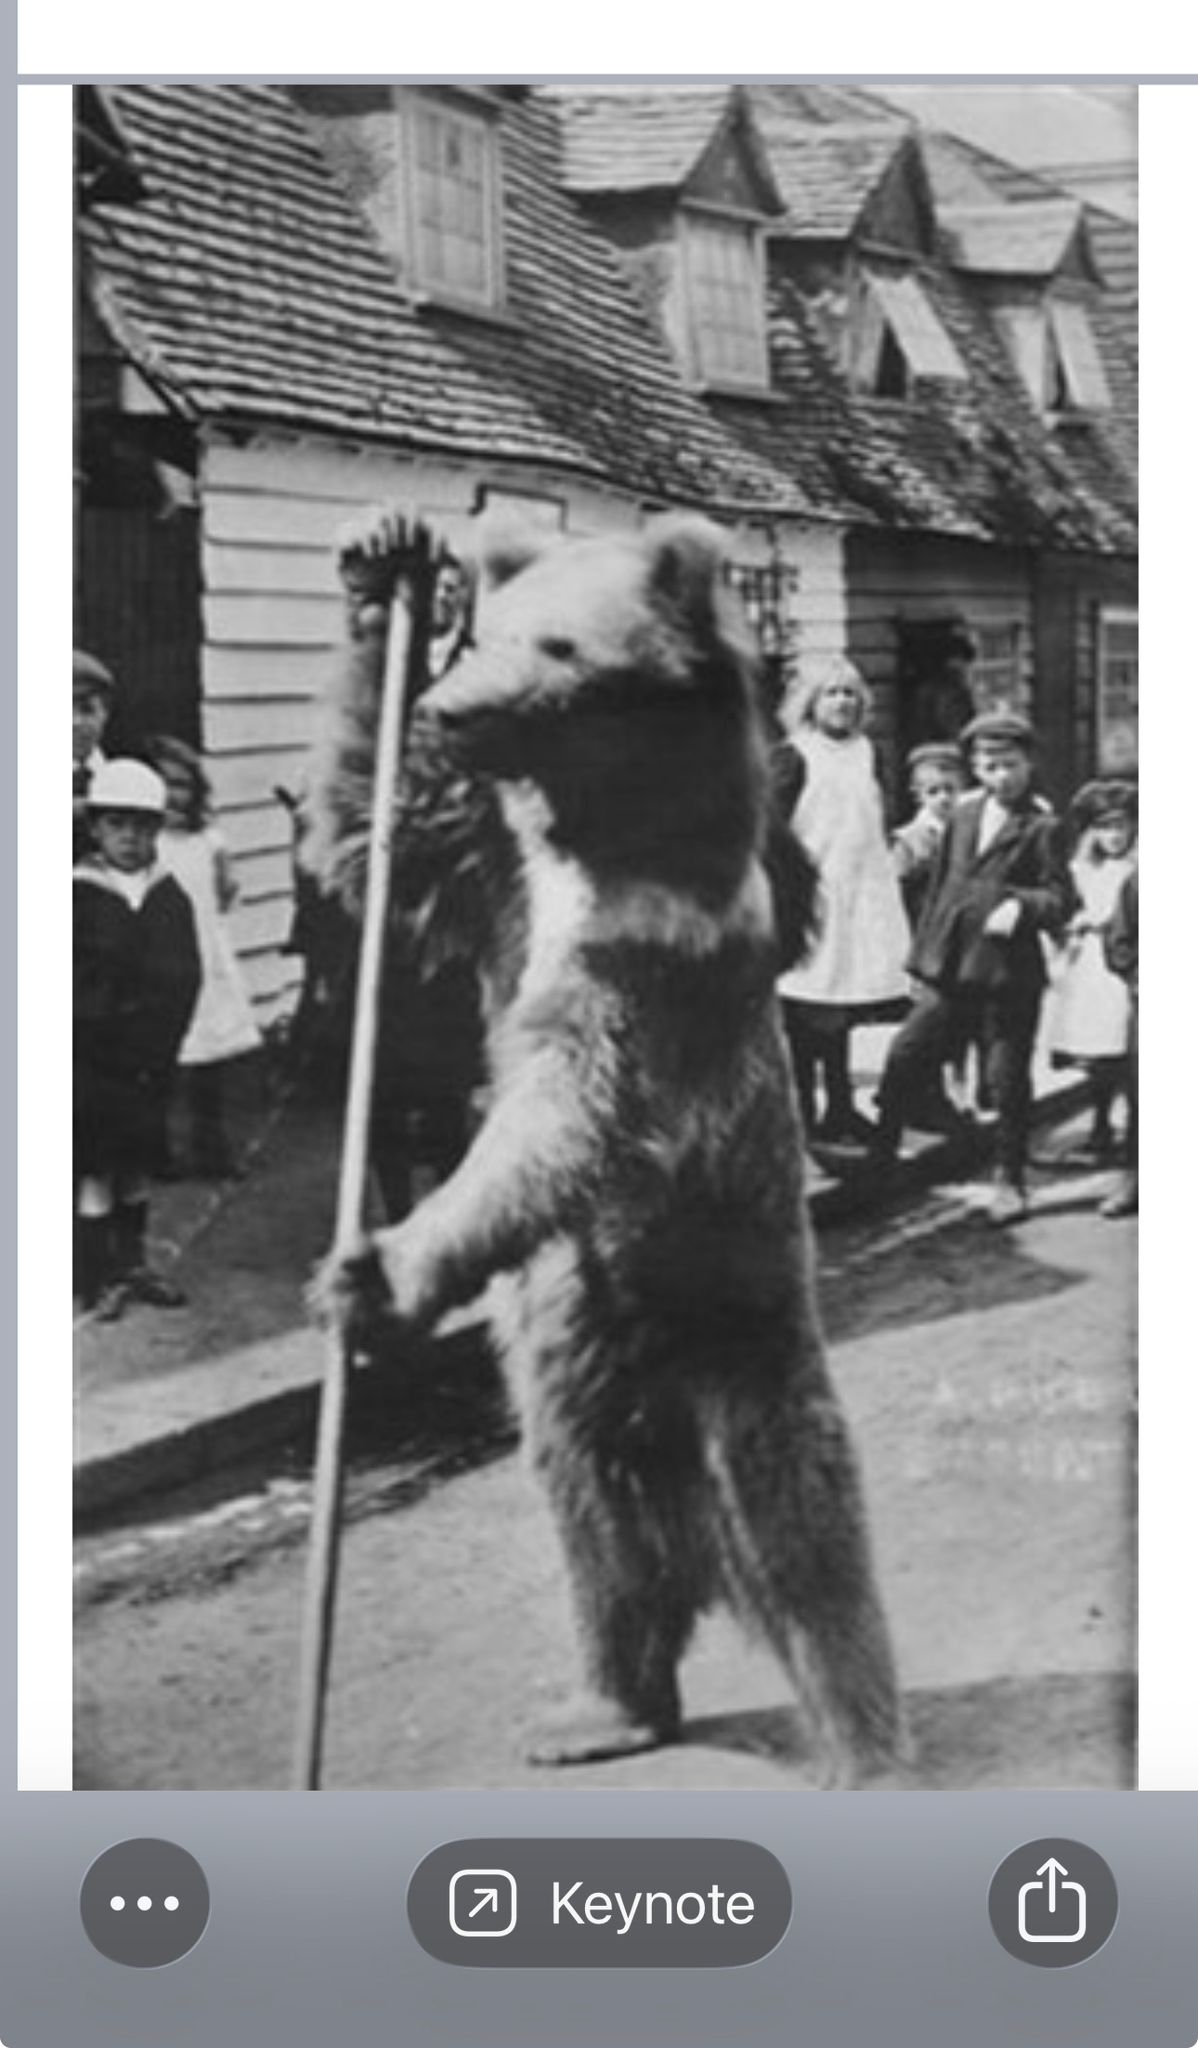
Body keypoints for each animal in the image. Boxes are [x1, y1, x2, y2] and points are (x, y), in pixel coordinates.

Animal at [307, 507, 905, 1783]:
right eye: (487, 630)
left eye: (560, 646)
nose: (447, 707)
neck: (598, 820)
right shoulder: (494, 877)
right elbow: (371, 845)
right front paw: (381, 567)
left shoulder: (653, 942)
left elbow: (569, 1107)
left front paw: (373, 1268)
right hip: (568, 1347)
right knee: (597, 1526)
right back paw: (602, 1709)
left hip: (748, 1329)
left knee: (805, 1530)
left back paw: (865, 1744)